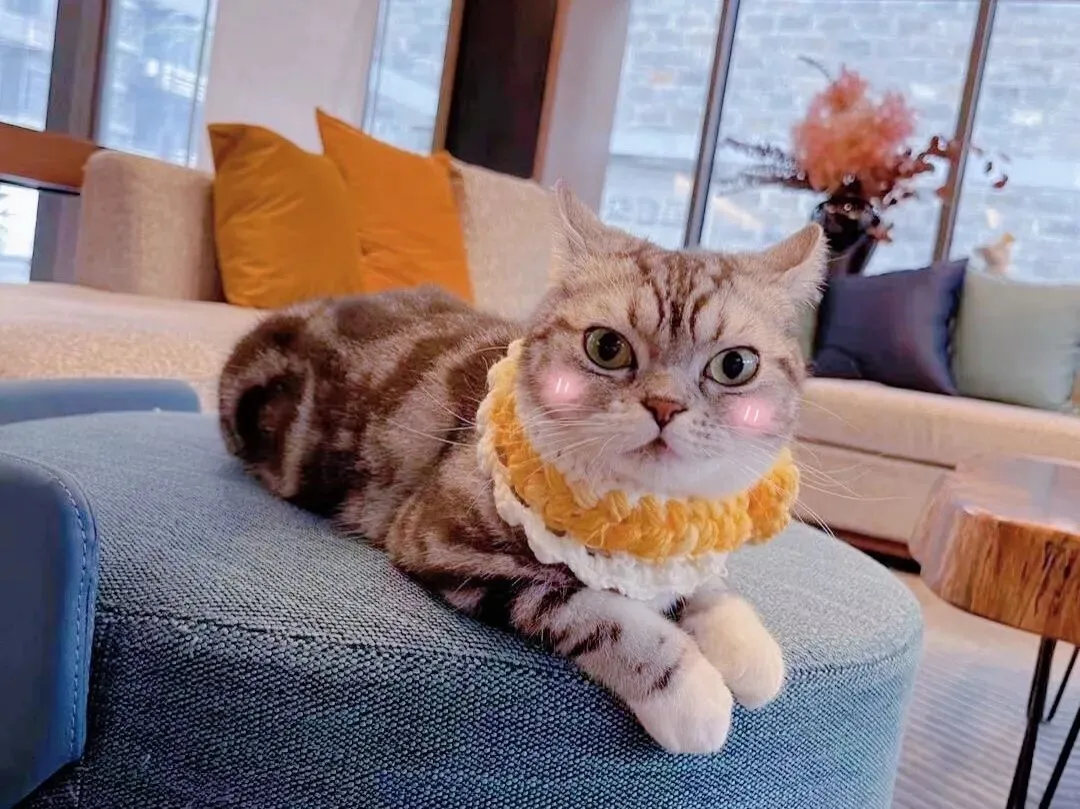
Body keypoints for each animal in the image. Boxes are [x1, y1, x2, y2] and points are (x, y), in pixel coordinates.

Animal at [217, 181, 827, 755]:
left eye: (735, 365)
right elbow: (598, 613)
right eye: (607, 347)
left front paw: (748, 649)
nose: (664, 406)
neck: (637, 518)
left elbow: (707, 586)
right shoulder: (443, 541)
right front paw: (692, 693)